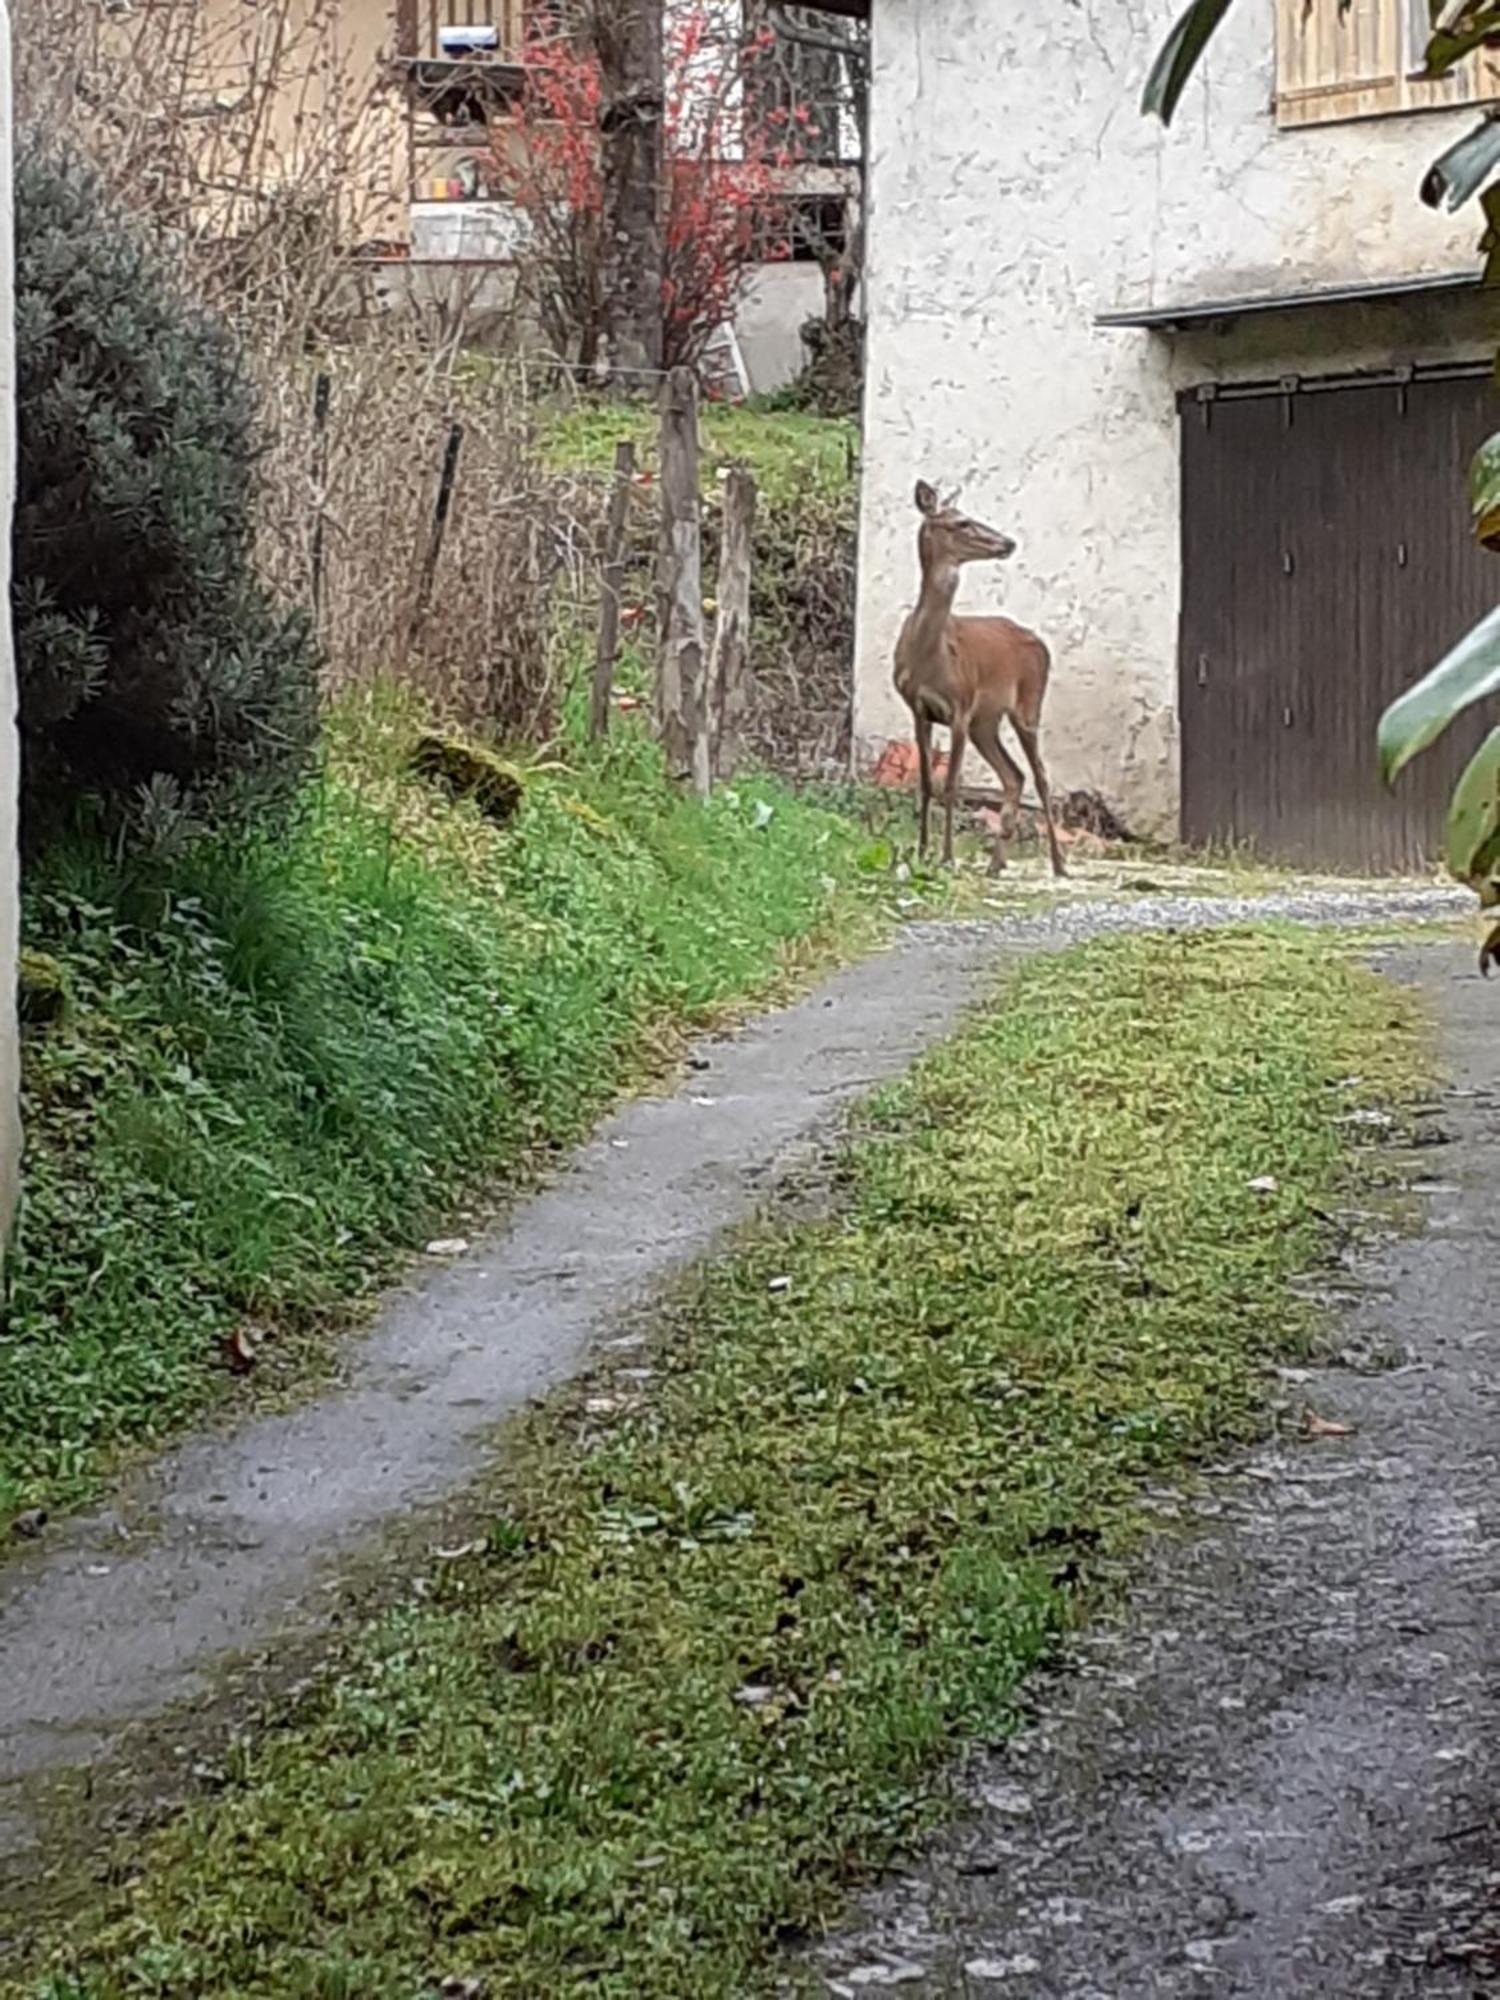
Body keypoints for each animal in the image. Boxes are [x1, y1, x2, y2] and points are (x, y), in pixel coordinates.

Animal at [892, 476, 1072, 876]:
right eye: (961, 522)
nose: (1008, 542)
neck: (929, 655)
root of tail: (1040, 643)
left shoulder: (960, 706)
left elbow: (952, 786)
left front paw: (947, 857)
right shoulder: (918, 708)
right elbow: (926, 784)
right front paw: (922, 851)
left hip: (1027, 705)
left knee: (1040, 777)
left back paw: (1058, 864)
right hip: (985, 722)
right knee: (1015, 775)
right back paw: (996, 863)